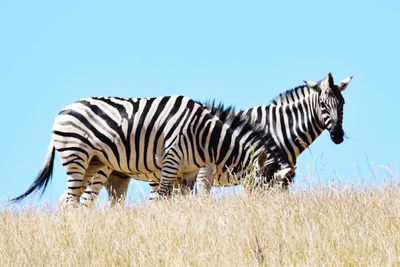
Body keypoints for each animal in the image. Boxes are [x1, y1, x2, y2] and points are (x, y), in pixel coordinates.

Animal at [10, 96, 292, 207]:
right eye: (267, 189)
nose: (276, 215)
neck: (205, 136)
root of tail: (62, 111)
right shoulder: (172, 159)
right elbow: (163, 198)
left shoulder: (189, 171)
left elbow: (184, 201)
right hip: (76, 156)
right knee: (71, 200)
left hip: (93, 163)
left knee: (71, 200)